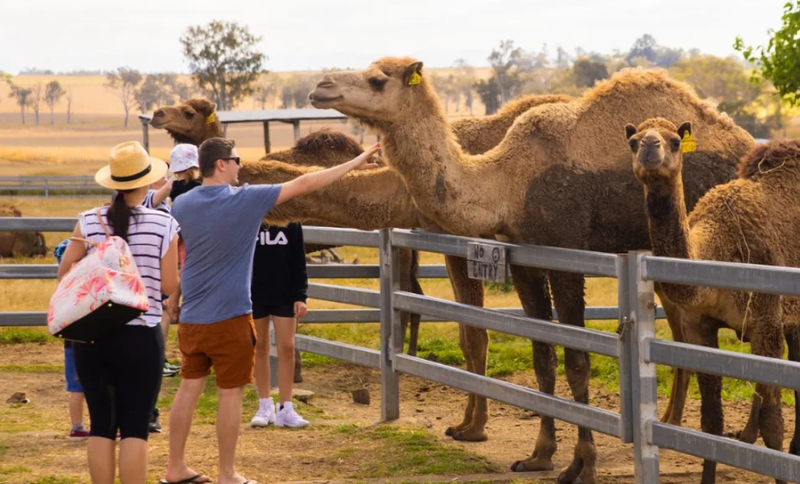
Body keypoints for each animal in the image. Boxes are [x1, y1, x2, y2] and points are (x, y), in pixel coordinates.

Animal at [308, 59, 754, 483]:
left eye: (377, 79)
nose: (320, 87)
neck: (508, 184)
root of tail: (747, 145)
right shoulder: (525, 258)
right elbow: (542, 356)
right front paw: (539, 455)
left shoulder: (566, 254)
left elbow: (576, 360)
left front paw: (582, 465)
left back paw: (747, 437)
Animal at [627, 120, 800, 484]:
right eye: (633, 142)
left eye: (675, 141)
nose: (650, 147)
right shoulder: (699, 327)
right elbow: (710, 424)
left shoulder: (766, 321)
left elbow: (773, 424)